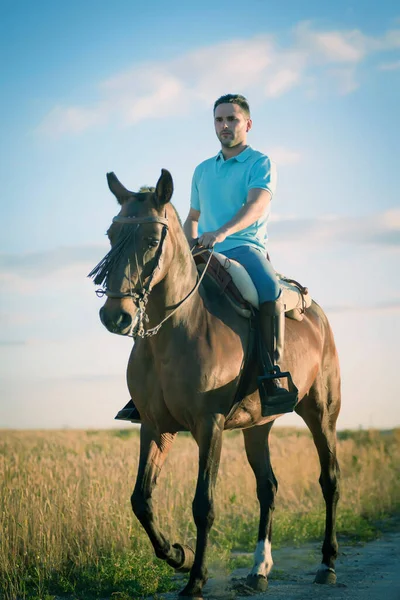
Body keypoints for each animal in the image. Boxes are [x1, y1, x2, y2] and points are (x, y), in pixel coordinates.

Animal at [90, 168, 340, 596]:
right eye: (110, 235)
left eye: (152, 240)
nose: (115, 316)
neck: (175, 329)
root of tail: (315, 311)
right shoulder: (155, 427)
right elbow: (141, 499)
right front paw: (177, 554)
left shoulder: (210, 425)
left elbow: (203, 504)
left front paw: (195, 579)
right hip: (258, 426)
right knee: (267, 487)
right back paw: (258, 571)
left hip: (321, 415)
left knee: (330, 480)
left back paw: (327, 563)